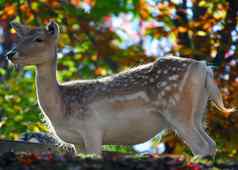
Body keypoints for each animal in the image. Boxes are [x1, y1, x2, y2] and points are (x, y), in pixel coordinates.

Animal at [6, 20, 233, 157]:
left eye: (39, 39)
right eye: (19, 37)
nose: (10, 53)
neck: (60, 108)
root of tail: (204, 68)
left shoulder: (92, 128)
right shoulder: (77, 142)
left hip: (178, 110)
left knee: (201, 146)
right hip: (197, 111)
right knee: (211, 144)